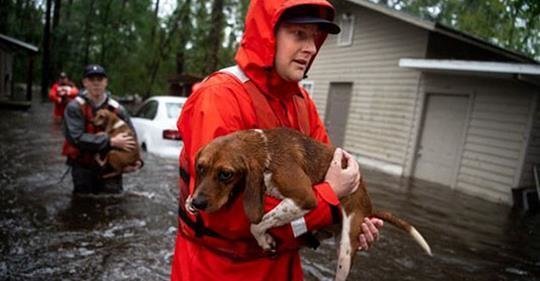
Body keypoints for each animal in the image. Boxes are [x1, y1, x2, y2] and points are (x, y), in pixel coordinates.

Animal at [186, 127, 430, 280]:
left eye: (226, 174)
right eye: (200, 168)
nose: (197, 203)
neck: (266, 152)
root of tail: (369, 205)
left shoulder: (305, 197)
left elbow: (256, 224)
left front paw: (264, 240)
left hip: (346, 252)